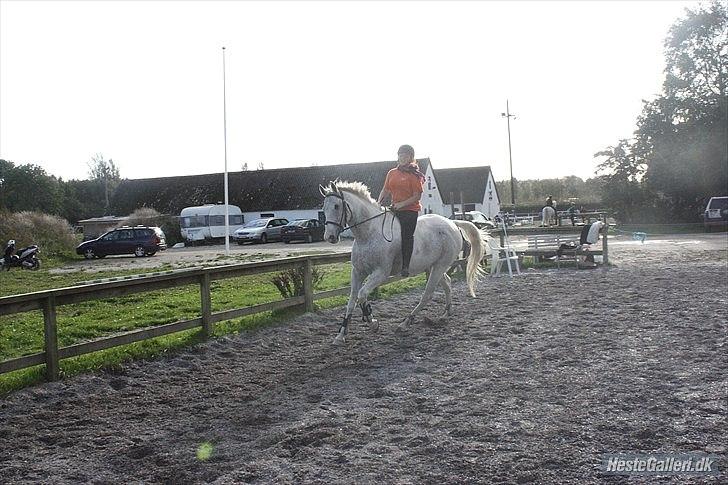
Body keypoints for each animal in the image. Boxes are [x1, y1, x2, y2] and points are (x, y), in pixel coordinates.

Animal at [320, 181, 486, 344]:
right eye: (323, 208)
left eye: (336, 206)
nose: (330, 237)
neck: (368, 234)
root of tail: (452, 223)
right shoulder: (357, 272)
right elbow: (352, 300)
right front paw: (341, 334)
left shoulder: (380, 273)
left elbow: (362, 294)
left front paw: (371, 321)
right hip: (432, 266)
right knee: (447, 284)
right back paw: (445, 314)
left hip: (440, 266)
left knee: (427, 294)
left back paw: (405, 323)